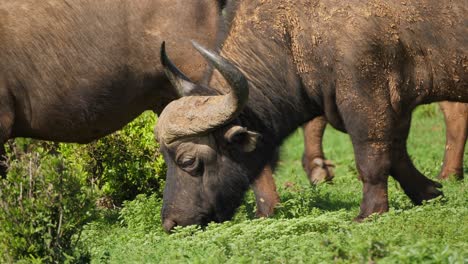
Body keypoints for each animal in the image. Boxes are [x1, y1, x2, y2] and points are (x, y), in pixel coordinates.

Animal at [158, 0, 468, 231]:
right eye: (165, 158)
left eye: (188, 161)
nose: (171, 223)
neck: (291, 34)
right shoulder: (397, 105)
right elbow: (397, 153)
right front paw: (428, 191)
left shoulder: (365, 98)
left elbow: (373, 158)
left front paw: (369, 213)